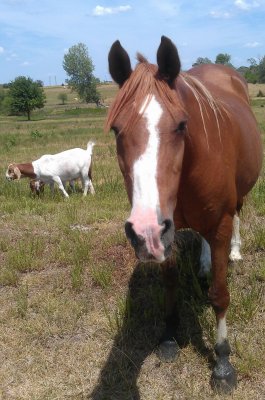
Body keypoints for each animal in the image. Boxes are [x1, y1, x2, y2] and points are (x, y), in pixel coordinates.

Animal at [105, 36, 262, 392]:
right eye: (117, 130)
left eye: (180, 124)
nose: (143, 229)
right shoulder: (166, 233)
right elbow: (170, 284)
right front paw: (168, 337)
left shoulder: (220, 223)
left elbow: (219, 295)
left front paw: (223, 364)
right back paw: (204, 263)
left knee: (238, 215)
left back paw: (234, 251)